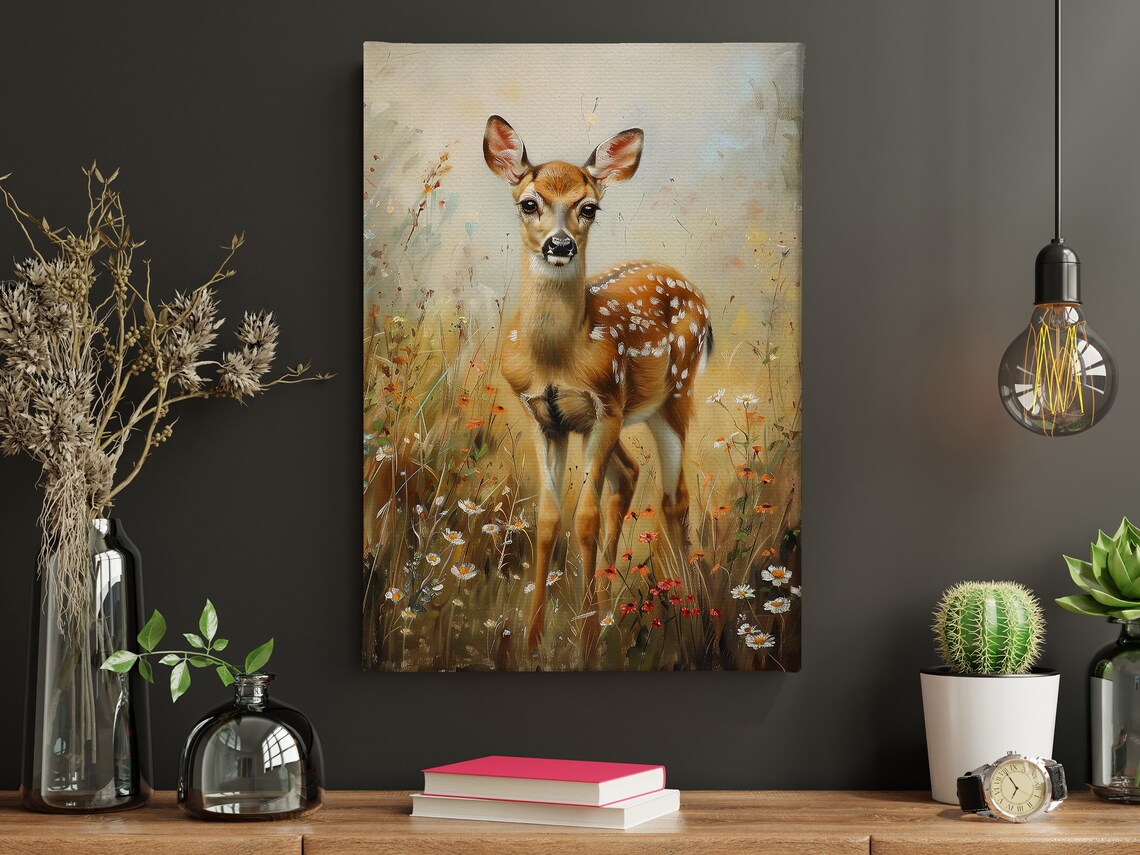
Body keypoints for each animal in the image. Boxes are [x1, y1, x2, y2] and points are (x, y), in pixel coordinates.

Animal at [483, 116, 713, 659]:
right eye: (529, 202)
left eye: (588, 207)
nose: (560, 245)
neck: (557, 358)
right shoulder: (545, 418)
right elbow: (549, 519)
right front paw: (532, 642)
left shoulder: (605, 405)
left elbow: (584, 518)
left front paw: (584, 643)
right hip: (621, 418)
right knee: (628, 476)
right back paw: (609, 605)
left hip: (673, 394)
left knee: (674, 497)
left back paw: (690, 618)